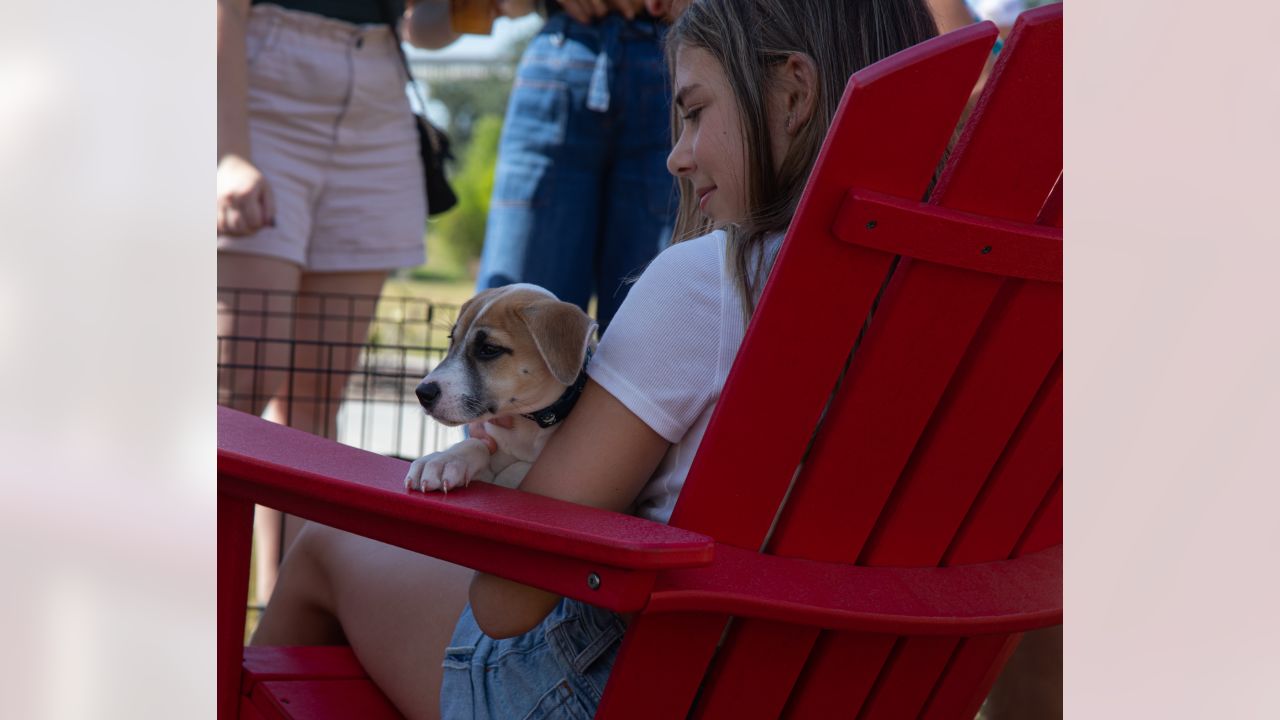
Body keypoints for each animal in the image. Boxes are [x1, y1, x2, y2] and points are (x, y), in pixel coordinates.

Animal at [401, 283, 596, 489]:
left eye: (489, 349)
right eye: (451, 339)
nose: (423, 393)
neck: (529, 425)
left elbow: (517, 469)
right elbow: (477, 445)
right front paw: (443, 460)